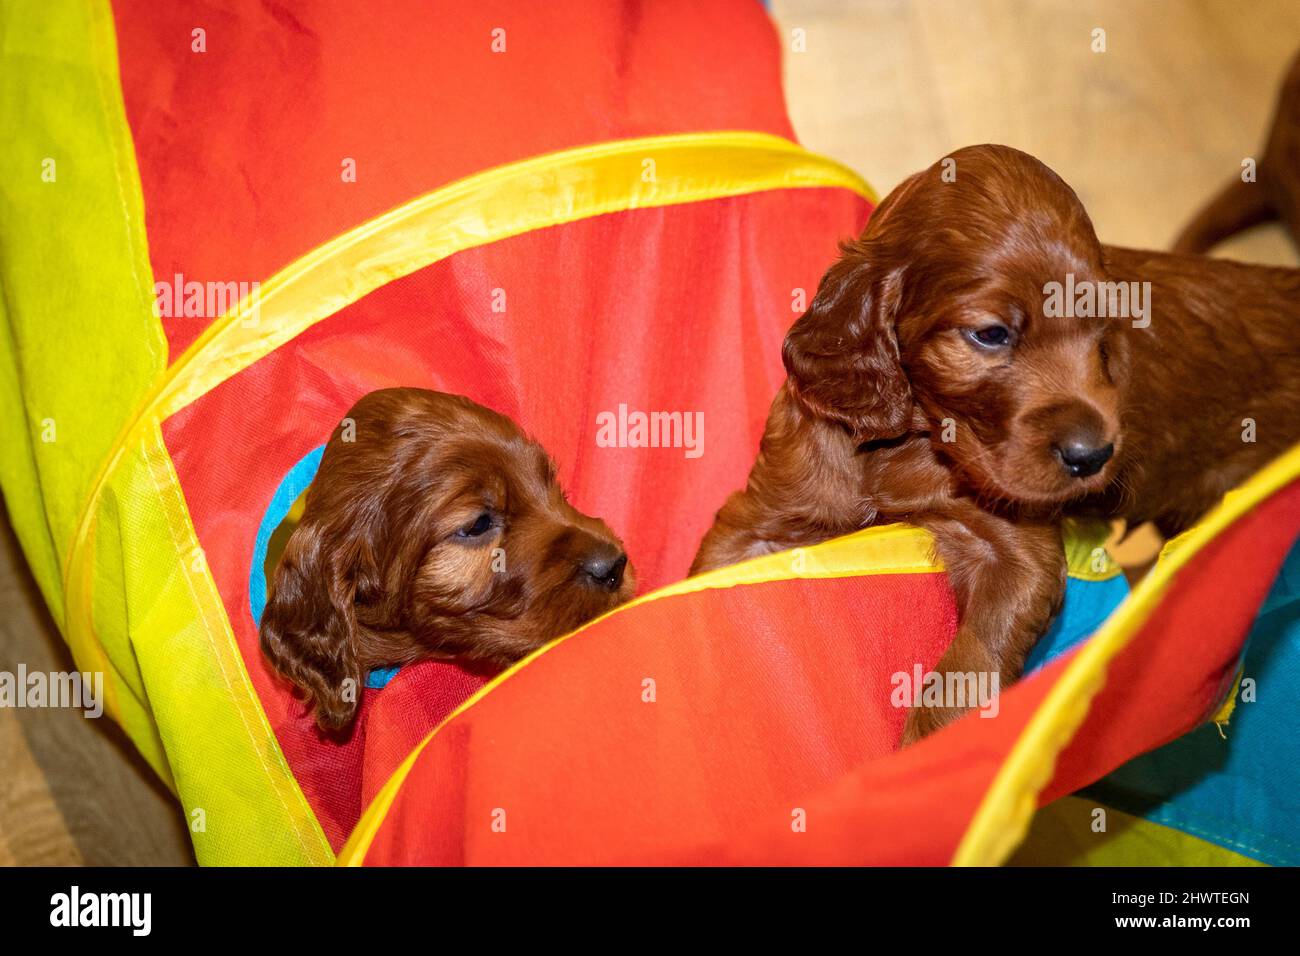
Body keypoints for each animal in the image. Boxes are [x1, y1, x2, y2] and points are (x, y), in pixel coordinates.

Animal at [696, 141, 1300, 743]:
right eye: (991, 334)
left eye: (1102, 333)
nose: (1094, 456)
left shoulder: (1018, 554)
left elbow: (964, 674)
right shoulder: (769, 512)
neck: (910, 443)